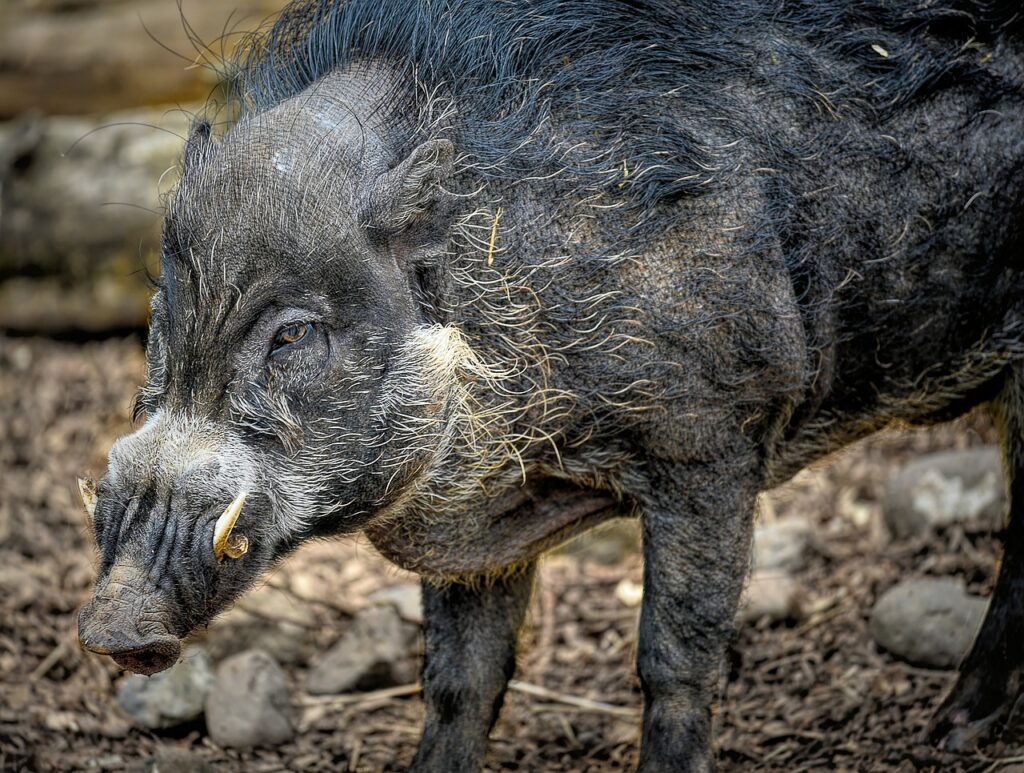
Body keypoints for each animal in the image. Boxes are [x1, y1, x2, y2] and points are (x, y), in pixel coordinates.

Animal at [77, 0, 1024, 769]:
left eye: (293, 334)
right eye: (162, 310)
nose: (114, 628)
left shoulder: (714, 438)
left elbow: (675, 657)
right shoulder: (478, 523)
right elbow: (459, 679)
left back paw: (953, 732)